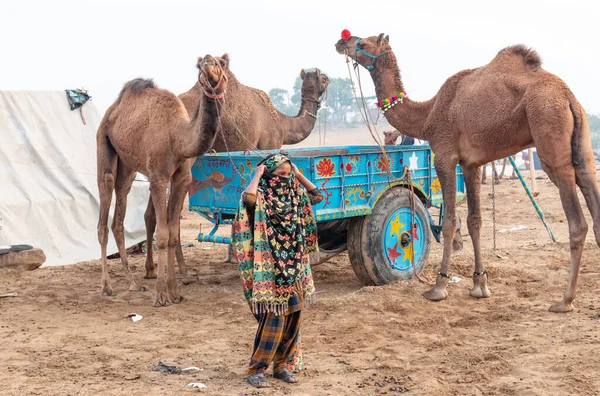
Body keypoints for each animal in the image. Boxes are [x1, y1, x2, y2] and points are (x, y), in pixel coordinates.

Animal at [95, 53, 229, 306]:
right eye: (200, 65)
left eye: (223, 63)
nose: (208, 62)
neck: (177, 137)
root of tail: (113, 109)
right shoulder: (158, 178)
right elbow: (164, 234)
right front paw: (160, 295)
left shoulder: (182, 179)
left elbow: (174, 234)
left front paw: (175, 292)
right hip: (103, 142)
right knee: (103, 213)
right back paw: (107, 287)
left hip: (127, 166)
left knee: (119, 213)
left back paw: (133, 283)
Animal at [144, 68, 332, 272]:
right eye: (323, 78)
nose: (329, 79)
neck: (282, 123)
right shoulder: (270, 143)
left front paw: (232, 255)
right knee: (173, 217)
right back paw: (180, 268)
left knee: (151, 214)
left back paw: (151, 270)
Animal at [336, 33, 600, 312]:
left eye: (364, 43)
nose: (341, 42)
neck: (427, 113)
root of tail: (570, 98)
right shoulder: (471, 164)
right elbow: (475, 221)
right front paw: (480, 285)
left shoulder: (444, 155)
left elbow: (450, 221)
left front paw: (438, 286)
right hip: (582, 145)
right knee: (591, 194)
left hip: (550, 132)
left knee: (577, 222)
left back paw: (565, 300)